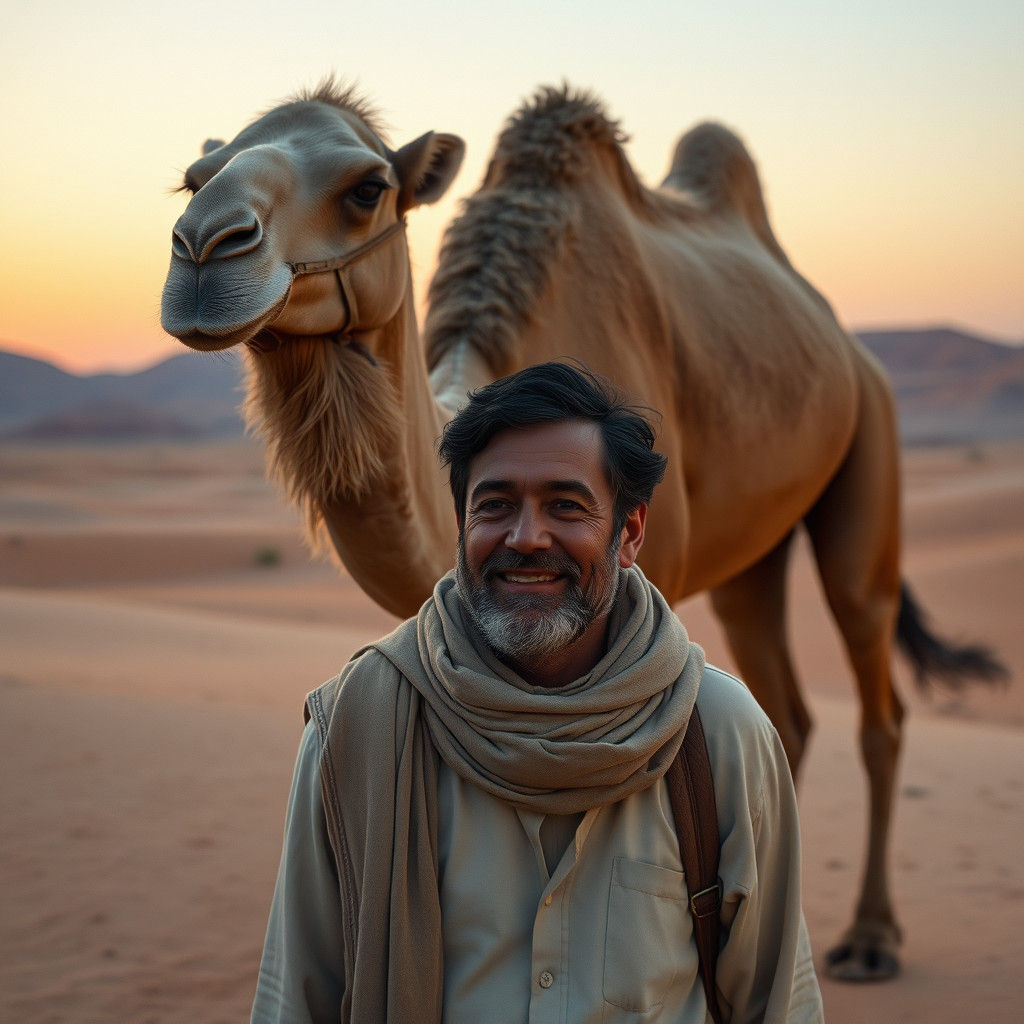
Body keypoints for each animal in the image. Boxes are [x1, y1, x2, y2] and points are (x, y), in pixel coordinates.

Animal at [161, 80, 1004, 982]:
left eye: (368, 188)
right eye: (193, 178)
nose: (204, 250)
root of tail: (843, 337)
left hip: (872, 440)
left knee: (875, 679)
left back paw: (871, 939)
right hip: (756, 548)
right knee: (783, 703)